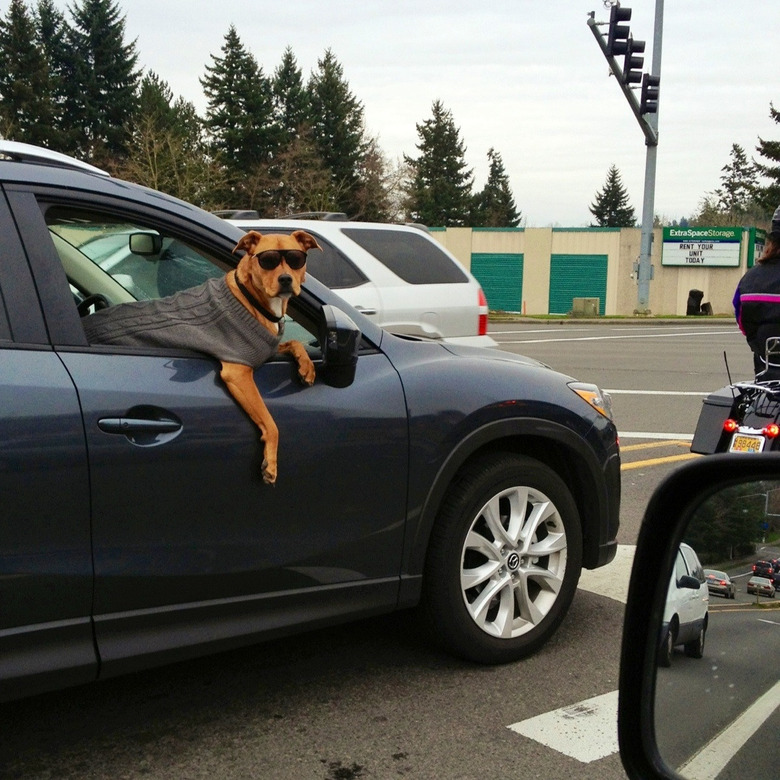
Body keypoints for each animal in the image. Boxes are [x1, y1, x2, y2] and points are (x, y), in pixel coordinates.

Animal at [81, 227, 320, 482]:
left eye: (296, 259)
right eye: (267, 260)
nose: (285, 279)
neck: (250, 298)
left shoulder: (267, 347)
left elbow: (295, 342)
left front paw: (307, 367)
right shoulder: (238, 373)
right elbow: (270, 422)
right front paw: (271, 464)